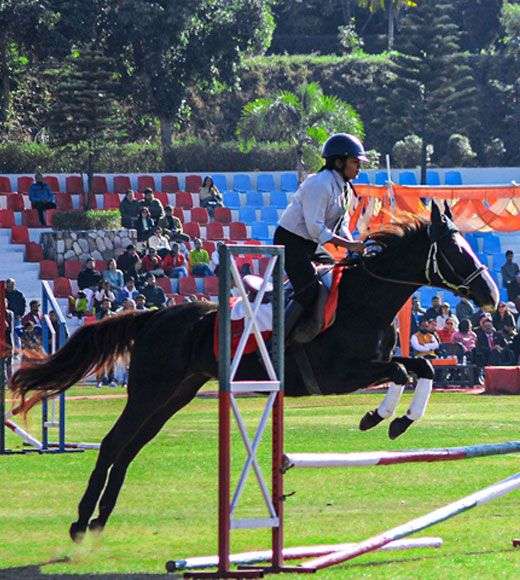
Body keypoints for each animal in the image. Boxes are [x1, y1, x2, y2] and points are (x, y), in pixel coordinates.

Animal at [9, 202, 498, 543]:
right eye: (455, 250)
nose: (492, 296)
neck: (364, 302)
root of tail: (153, 317)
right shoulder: (342, 374)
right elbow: (400, 370)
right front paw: (377, 417)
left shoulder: (377, 365)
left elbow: (423, 366)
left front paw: (399, 421)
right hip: (149, 390)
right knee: (114, 443)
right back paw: (80, 521)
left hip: (175, 395)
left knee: (130, 448)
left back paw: (100, 519)